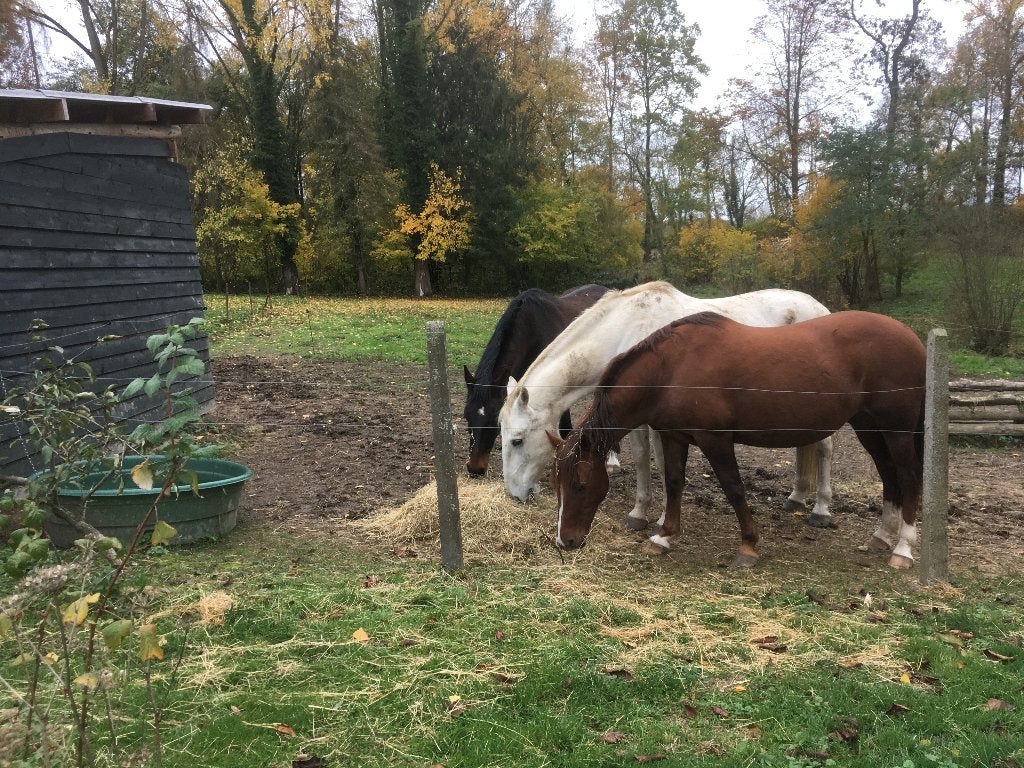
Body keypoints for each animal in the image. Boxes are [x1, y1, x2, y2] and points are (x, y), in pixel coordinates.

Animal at [499, 281, 836, 531]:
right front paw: (639, 514)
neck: (625, 331)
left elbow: (663, 463)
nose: (514, 495)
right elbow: (642, 457)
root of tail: (820, 307)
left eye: (517, 440)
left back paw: (820, 509)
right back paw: (796, 497)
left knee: (824, 448)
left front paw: (662, 518)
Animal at [549, 311, 926, 569]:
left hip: (897, 431)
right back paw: (881, 537)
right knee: (890, 478)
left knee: (908, 479)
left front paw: (748, 545)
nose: (566, 541)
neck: (671, 370)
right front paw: (663, 536)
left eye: (581, 485)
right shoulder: (673, 437)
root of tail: (913, 339)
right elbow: (673, 483)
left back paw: (903, 549)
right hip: (869, 428)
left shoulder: (715, 440)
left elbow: (733, 488)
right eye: (557, 485)